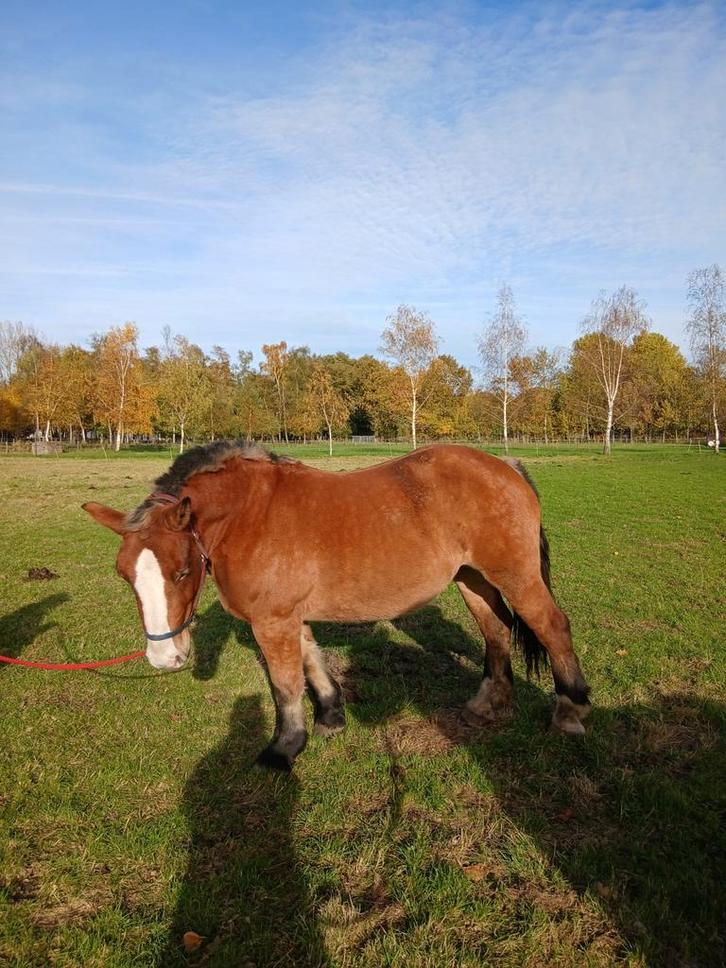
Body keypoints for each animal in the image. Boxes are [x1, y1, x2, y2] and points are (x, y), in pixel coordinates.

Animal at [82, 442, 591, 769]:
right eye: (124, 575)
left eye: (182, 571)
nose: (164, 657)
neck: (249, 515)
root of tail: (504, 465)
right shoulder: (290, 616)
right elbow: (312, 663)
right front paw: (330, 717)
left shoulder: (272, 621)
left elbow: (285, 685)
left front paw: (284, 748)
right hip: (473, 579)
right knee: (497, 630)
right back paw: (488, 705)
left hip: (515, 576)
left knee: (552, 625)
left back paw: (571, 710)